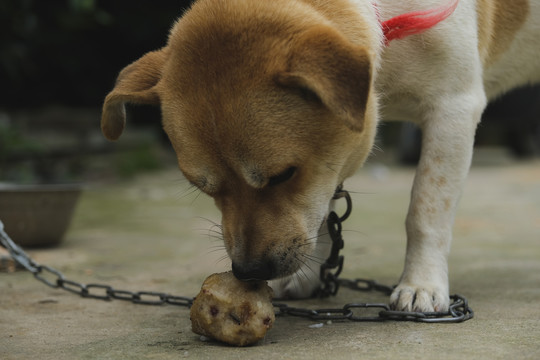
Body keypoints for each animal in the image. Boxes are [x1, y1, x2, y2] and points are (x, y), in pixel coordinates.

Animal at [102, 0, 540, 312]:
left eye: (283, 175)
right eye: (202, 187)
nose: (248, 272)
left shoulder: (453, 109)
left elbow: (425, 211)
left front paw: (421, 285)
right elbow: (323, 214)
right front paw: (310, 276)